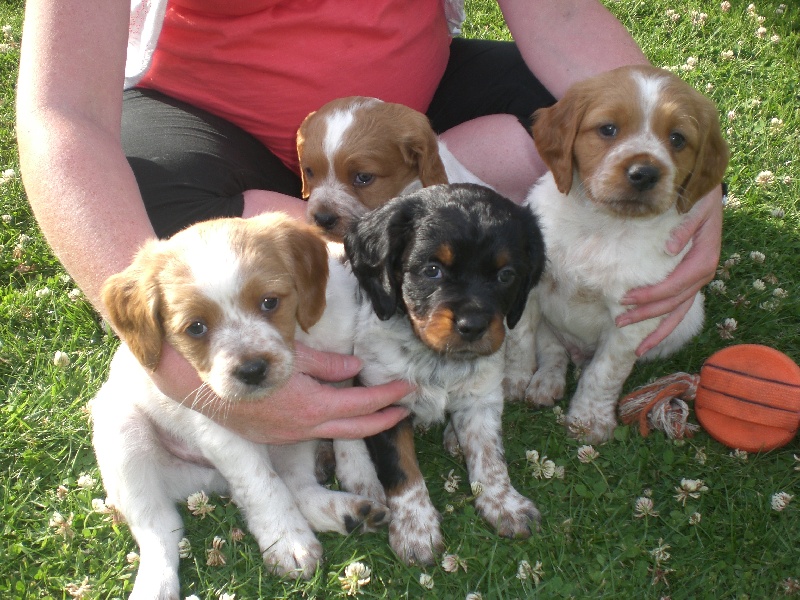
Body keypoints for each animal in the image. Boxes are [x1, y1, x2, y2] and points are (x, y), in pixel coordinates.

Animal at [89, 213, 390, 596]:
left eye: (270, 302)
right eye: (196, 327)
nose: (252, 370)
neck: (300, 341)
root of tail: (211, 482)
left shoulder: (341, 369)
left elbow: (349, 429)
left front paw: (360, 475)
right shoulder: (224, 428)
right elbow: (262, 486)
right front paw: (288, 542)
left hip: (293, 441)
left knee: (298, 485)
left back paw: (349, 512)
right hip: (123, 436)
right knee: (161, 530)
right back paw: (155, 586)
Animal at [340, 182, 548, 564]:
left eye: (506, 275)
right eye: (432, 270)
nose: (473, 326)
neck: (437, 360)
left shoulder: (482, 397)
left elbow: (490, 457)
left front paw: (505, 506)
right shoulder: (383, 396)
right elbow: (402, 469)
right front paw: (415, 529)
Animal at [506, 63, 732, 442]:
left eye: (678, 139)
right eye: (608, 129)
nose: (644, 173)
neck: (603, 226)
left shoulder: (632, 320)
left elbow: (605, 372)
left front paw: (589, 421)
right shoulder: (530, 287)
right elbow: (520, 339)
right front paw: (512, 382)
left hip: (686, 320)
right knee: (553, 348)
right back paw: (545, 382)